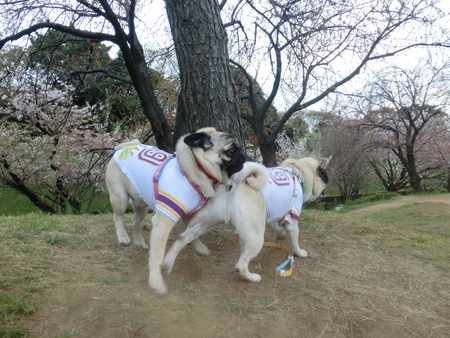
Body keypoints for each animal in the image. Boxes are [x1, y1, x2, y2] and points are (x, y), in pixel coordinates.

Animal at [104, 127, 246, 294]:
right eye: (231, 151)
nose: (243, 155)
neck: (196, 168)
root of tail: (126, 146)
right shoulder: (164, 220)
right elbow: (158, 255)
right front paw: (156, 282)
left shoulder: (189, 214)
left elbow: (190, 235)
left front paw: (199, 248)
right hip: (120, 198)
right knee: (117, 217)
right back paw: (123, 237)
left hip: (141, 205)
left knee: (135, 222)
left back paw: (139, 242)